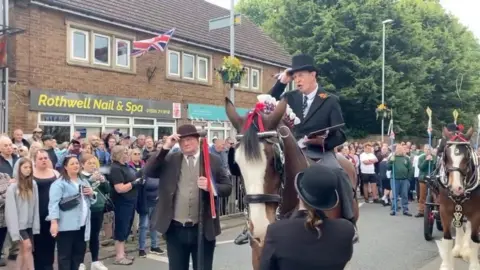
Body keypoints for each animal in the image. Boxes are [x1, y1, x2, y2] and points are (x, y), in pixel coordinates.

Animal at [436, 127, 480, 270]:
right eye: (446, 154)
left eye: (467, 156)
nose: (456, 188)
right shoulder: (445, 211)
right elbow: (447, 239)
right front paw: (446, 264)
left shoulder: (476, 214)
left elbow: (474, 239)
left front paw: (474, 264)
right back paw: (459, 248)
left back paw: (466, 250)